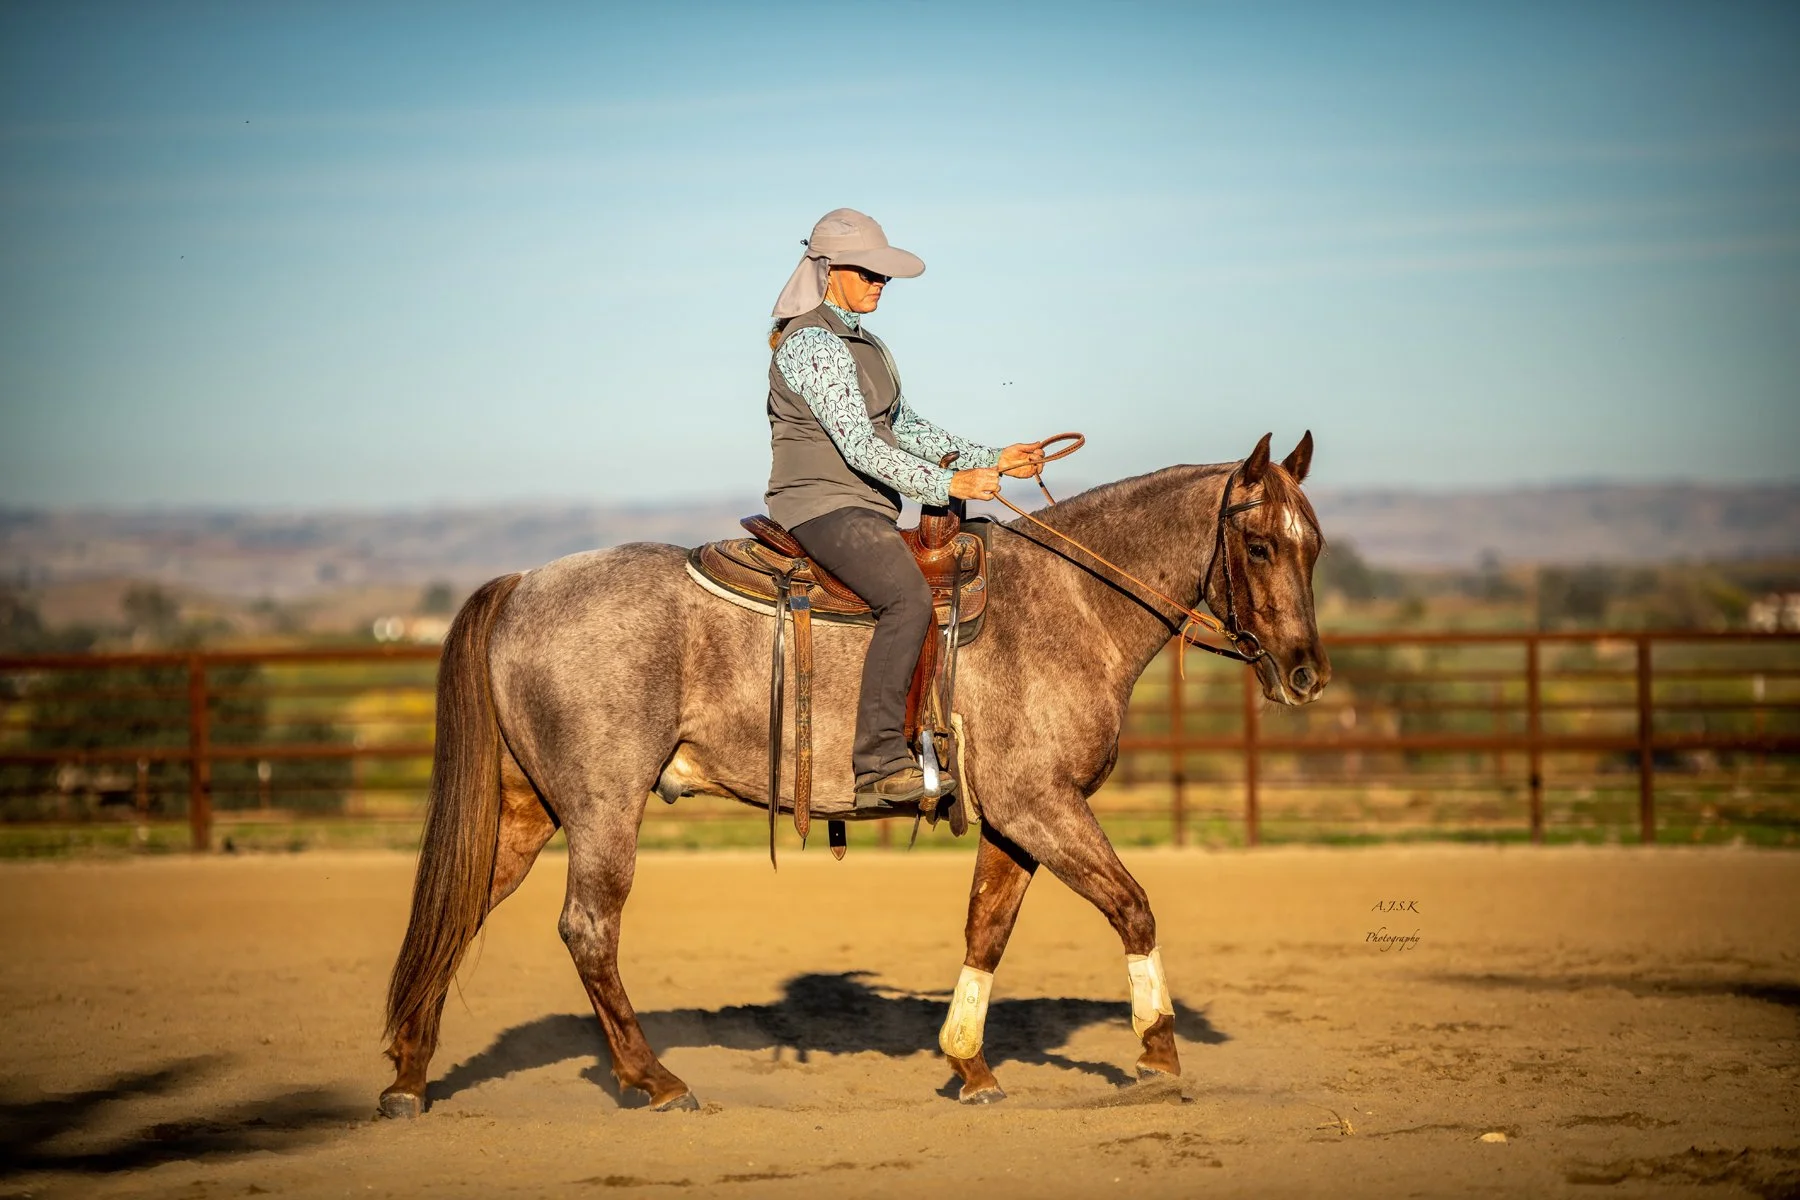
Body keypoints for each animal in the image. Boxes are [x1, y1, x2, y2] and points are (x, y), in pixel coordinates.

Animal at [379, 431, 1328, 1116]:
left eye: (1313, 546)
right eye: (1256, 544)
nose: (1306, 674)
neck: (1069, 604)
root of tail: (522, 584)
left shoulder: (1015, 818)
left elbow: (986, 930)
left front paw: (970, 1066)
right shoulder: (1042, 805)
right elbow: (1132, 904)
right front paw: (1159, 1051)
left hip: (526, 808)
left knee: (461, 908)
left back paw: (409, 1076)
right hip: (603, 805)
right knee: (588, 929)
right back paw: (656, 1080)